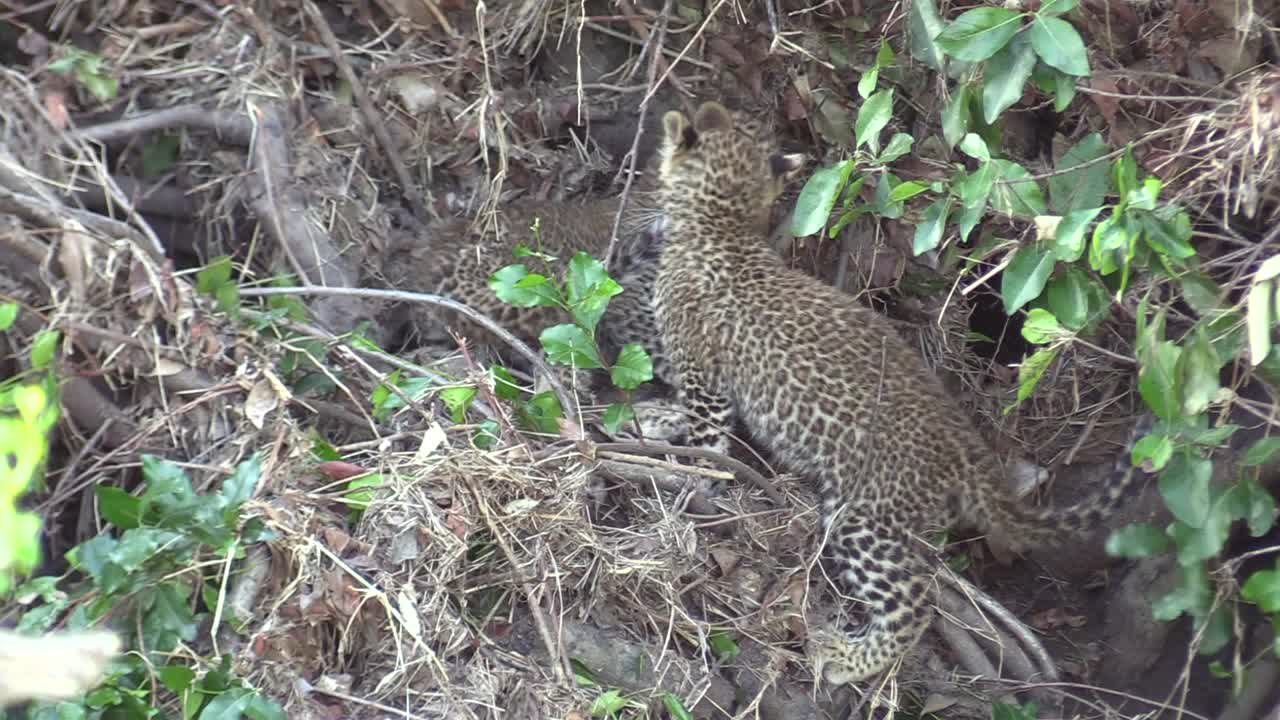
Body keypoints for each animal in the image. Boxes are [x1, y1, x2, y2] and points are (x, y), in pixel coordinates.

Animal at [650, 100, 1151, 684]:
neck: (719, 223)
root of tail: (967, 446)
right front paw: (659, 420)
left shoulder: (703, 373)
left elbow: (707, 435)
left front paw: (695, 478)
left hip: (864, 515)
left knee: (917, 600)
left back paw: (849, 660)